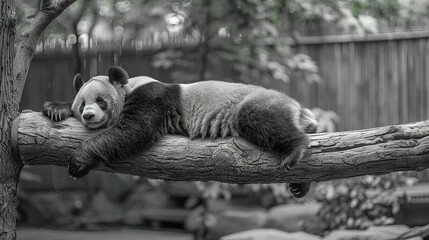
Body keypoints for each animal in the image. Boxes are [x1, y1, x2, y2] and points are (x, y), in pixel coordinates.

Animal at [42, 65, 318, 197]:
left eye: (100, 101)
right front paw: (55, 108)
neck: (129, 86)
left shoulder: (153, 97)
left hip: (257, 103)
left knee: (262, 118)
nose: (88, 116)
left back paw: (295, 149)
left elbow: (133, 130)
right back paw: (300, 185)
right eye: (81, 104)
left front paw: (78, 162)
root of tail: (299, 108)